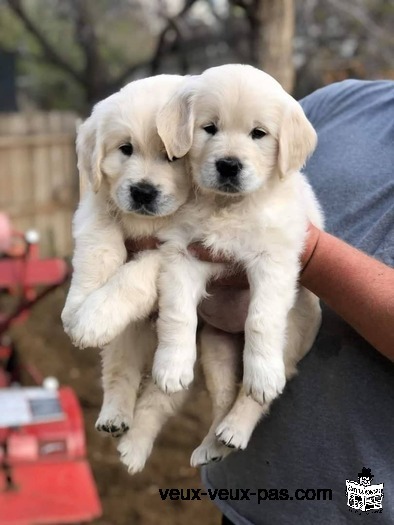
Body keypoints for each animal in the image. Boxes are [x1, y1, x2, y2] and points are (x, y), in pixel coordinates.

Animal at [151, 63, 324, 464]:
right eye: (209, 128)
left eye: (258, 134)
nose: (229, 165)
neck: (227, 207)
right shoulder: (182, 253)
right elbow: (178, 313)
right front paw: (171, 365)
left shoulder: (273, 258)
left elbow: (261, 318)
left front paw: (261, 376)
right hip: (215, 347)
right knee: (223, 396)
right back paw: (211, 444)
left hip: (294, 334)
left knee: (257, 391)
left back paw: (237, 426)